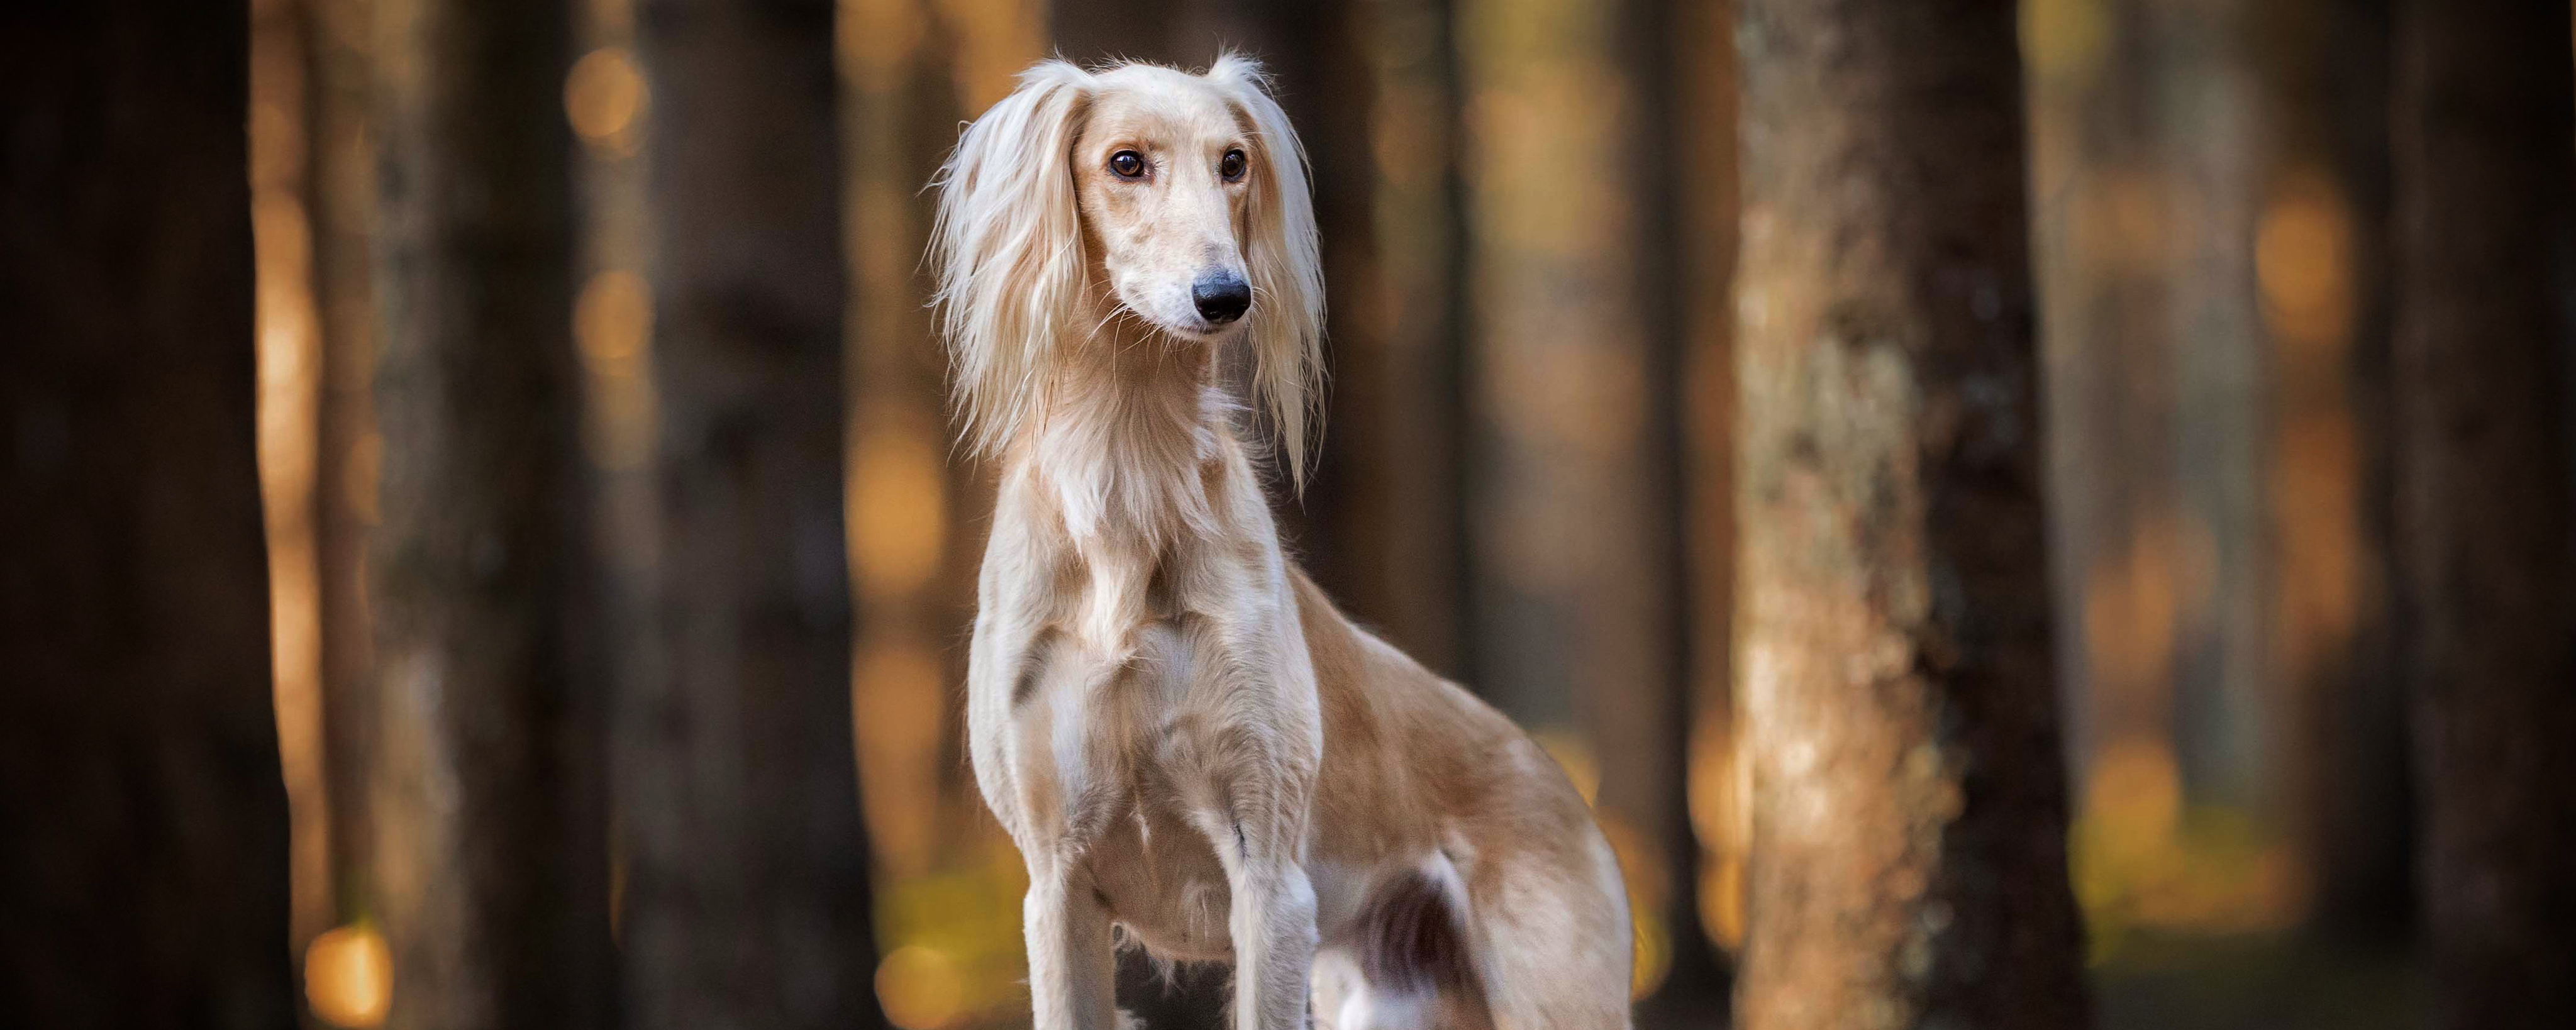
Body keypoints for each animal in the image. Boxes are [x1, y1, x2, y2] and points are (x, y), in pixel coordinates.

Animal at [937, 56, 1638, 1029]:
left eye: (1233, 162)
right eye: (1125, 162)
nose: (1226, 295)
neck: (1129, 481)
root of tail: (1558, 779)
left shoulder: (1268, 880)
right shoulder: (1057, 884)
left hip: (1555, 985)